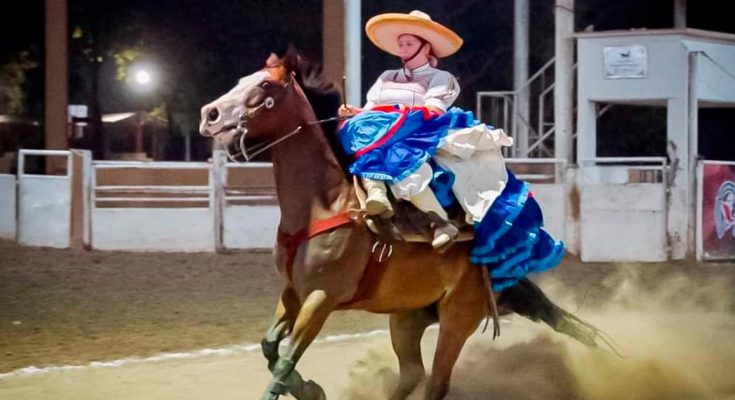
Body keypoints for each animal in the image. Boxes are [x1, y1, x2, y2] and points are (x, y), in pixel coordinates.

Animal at [198, 47, 612, 400]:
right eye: (242, 79)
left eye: (265, 86)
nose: (210, 114)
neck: (324, 203)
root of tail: (495, 265)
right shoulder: (293, 292)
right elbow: (270, 347)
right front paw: (311, 389)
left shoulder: (321, 298)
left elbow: (283, 363)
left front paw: (304, 388)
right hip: (407, 318)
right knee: (413, 374)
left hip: (457, 318)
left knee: (437, 382)